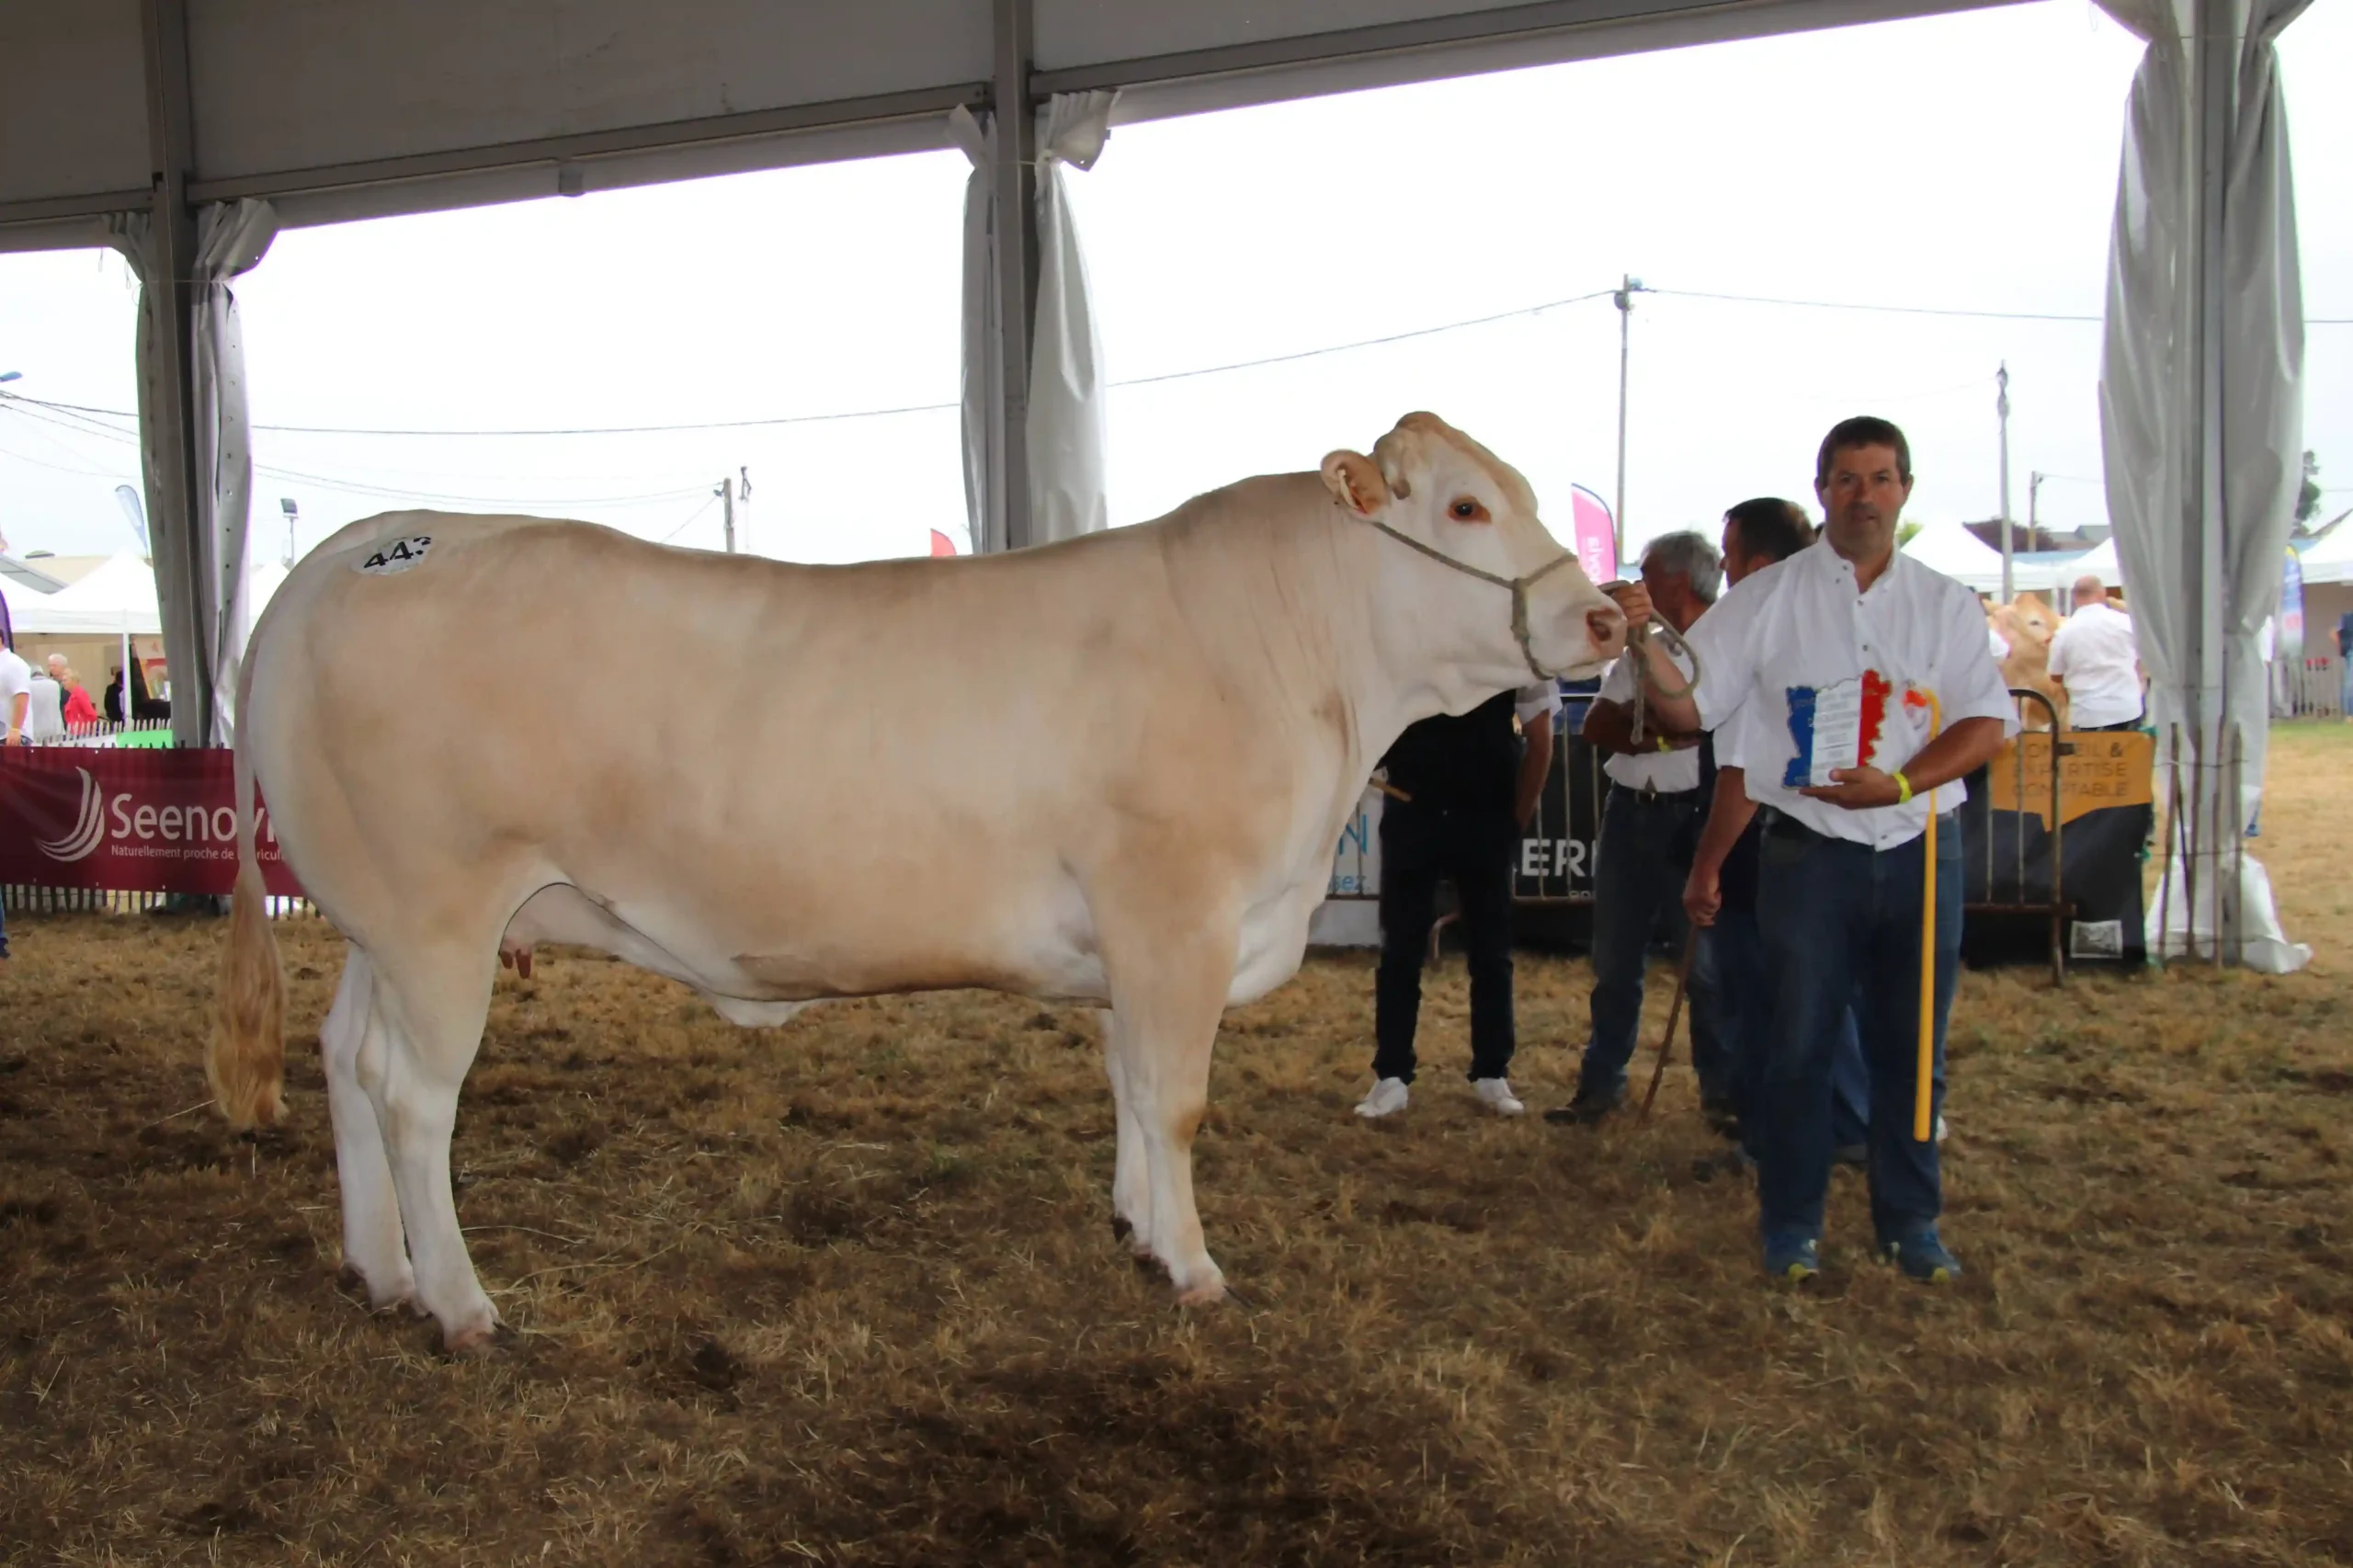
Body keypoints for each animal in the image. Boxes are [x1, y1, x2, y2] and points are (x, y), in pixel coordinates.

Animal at [209, 412, 1629, 1354]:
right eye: (1464, 507)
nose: (1609, 616)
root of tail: (363, 544)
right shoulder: (1177, 911)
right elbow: (1176, 1100)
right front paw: (1194, 1263)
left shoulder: (1130, 941)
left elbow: (1129, 1087)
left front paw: (1135, 1228)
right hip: (438, 913)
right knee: (413, 1095)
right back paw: (461, 1305)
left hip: (373, 922)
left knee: (344, 1059)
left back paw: (380, 1271)